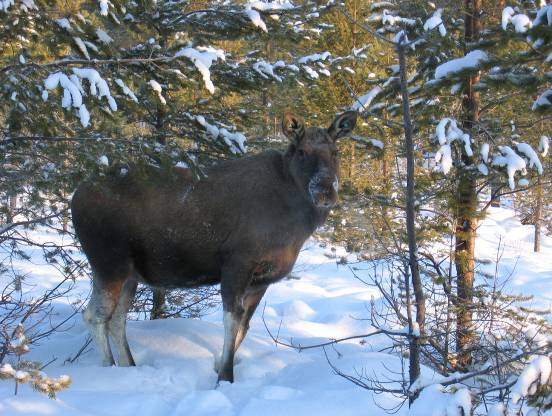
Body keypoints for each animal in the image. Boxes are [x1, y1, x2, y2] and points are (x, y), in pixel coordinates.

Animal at [71, 110, 358, 384]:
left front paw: (221, 368)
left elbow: (244, 327)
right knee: (95, 315)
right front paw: (224, 377)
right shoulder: (237, 264)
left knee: (118, 319)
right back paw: (110, 369)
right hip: (109, 262)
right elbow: (232, 322)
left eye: (335, 152)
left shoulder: (262, 280)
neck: (296, 226)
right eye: (301, 152)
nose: (324, 190)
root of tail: (76, 194)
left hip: (131, 272)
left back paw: (129, 366)